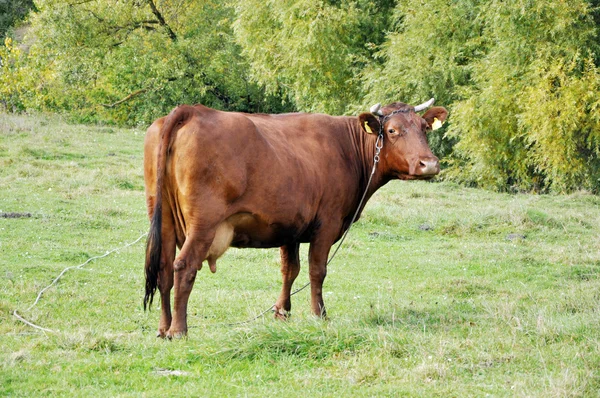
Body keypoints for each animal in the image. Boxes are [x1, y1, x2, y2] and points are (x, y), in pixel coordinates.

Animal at [144, 98, 446, 336]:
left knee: (164, 268)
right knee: (183, 266)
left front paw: (282, 312)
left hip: (163, 219)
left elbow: (290, 270)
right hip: (203, 223)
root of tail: (192, 110)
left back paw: (163, 327)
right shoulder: (327, 224)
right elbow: (316, 270)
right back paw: (179, 330)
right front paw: (319, 315)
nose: (429, 163)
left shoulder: (289, 227)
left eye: (424, 128)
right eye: (393, 130)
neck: (347, 148)